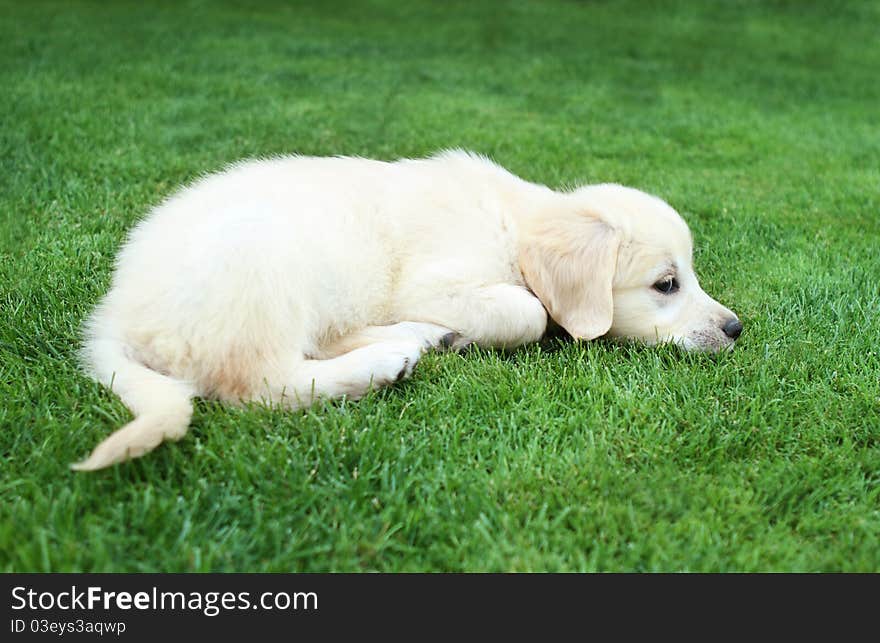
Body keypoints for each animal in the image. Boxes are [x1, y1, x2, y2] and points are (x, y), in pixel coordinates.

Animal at [72, 151, 740, 472]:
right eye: (666, 284)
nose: (734, 328)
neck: (514, 225)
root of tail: (114, 314)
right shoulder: (432, 283)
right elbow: (529, 311)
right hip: (264, 270)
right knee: (259, 383)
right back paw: (385, 359)